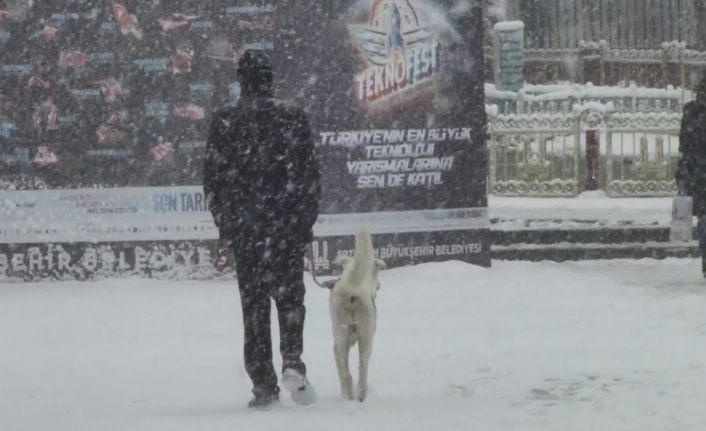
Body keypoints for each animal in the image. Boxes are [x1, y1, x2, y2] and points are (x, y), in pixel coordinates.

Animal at [326, 230, 382, 402]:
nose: (379, 285)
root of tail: (350, 289)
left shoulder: (338, 347)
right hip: (363, 339)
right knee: (359, 370)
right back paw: (357, 396)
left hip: (345, 339)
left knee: (350, 374)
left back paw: (352, 397)